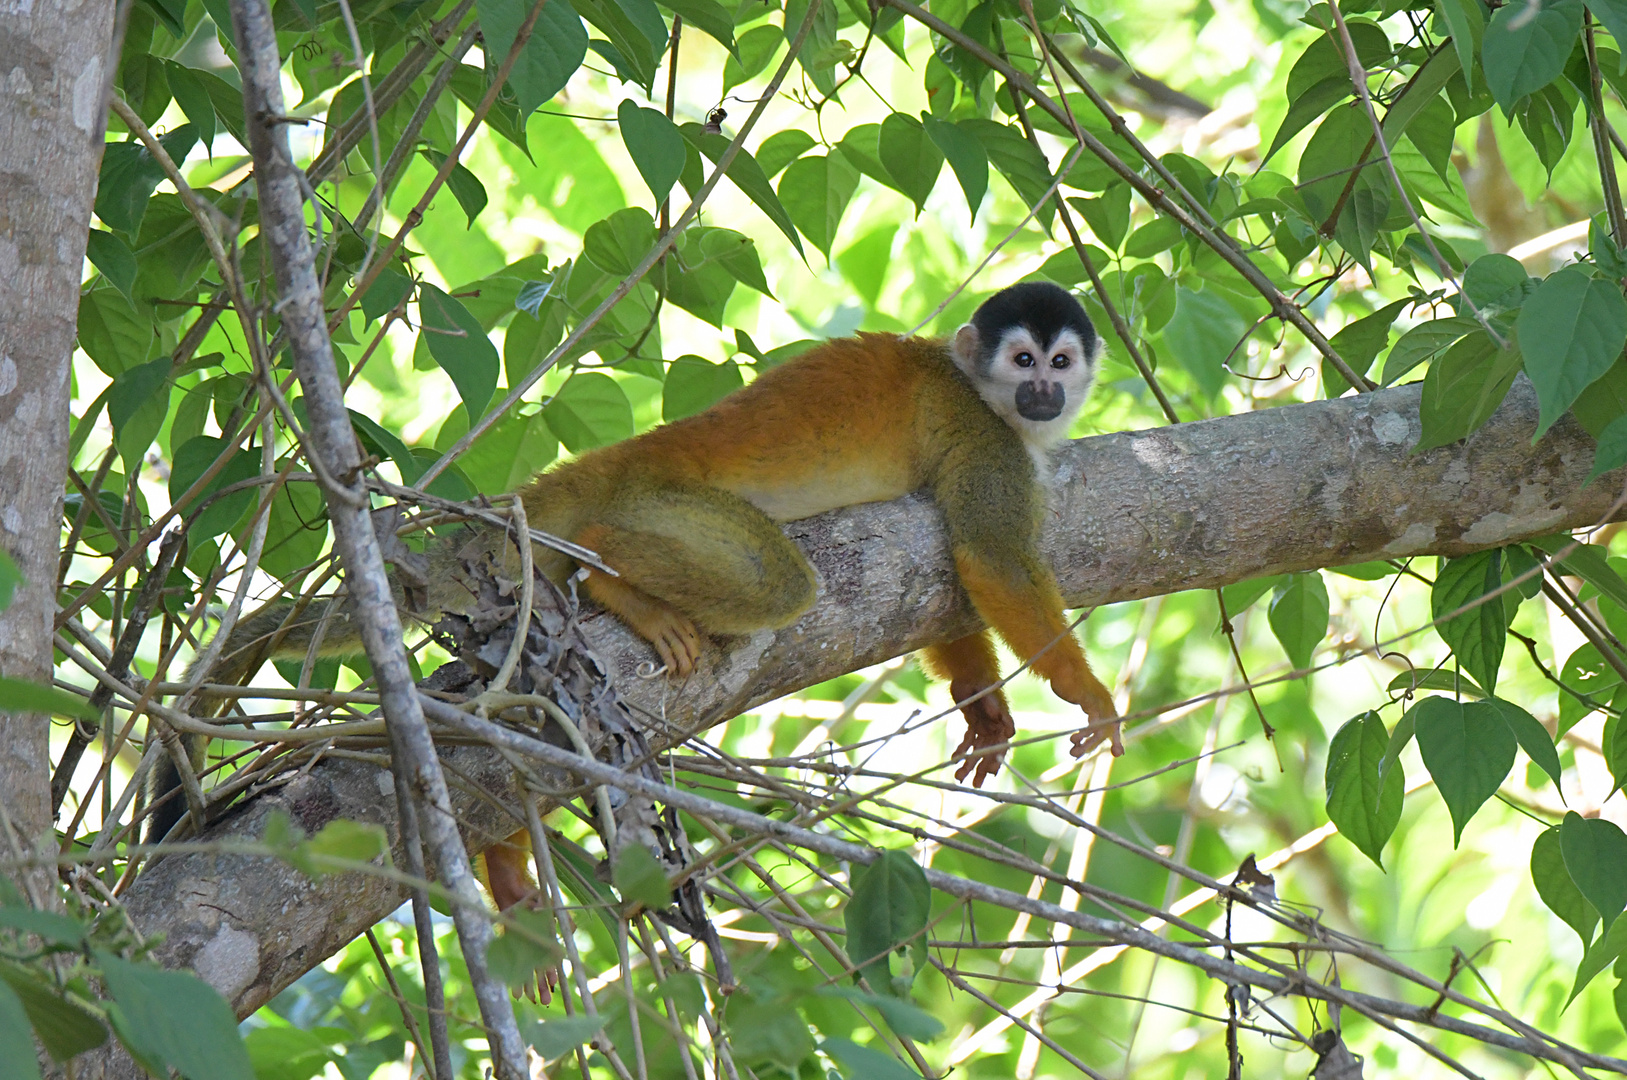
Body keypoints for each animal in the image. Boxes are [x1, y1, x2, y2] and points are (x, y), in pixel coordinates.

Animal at [152, 279, 1119, 910]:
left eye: (1059, 361)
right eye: (1022, 360)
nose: (1043, 391)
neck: (986, 397)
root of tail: (624, 456)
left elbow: (949, 581)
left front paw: (981, 704)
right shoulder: (986, 439)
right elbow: (991, 560)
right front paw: (1087, 693)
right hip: (666, 500)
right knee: (776, 582)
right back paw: (618, 577)